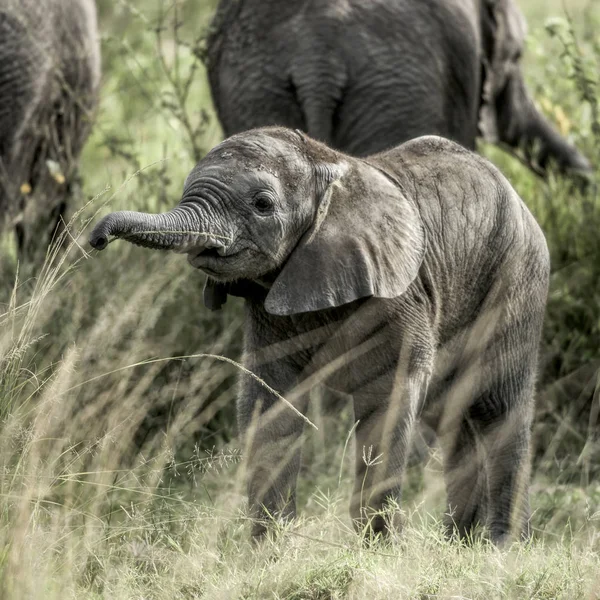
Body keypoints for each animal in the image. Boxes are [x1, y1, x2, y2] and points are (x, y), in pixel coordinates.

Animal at [89, 127, 548, 544]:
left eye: (262, 204)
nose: (97, 237)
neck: (327, 166)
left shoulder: (400, 295)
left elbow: (387, 401)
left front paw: (376, 550)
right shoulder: (269, 309)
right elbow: (269, 403)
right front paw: (268, 551)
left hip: (516, 275)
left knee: (497, 405)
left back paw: (501, 547)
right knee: (452, 416)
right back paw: (457, 545)